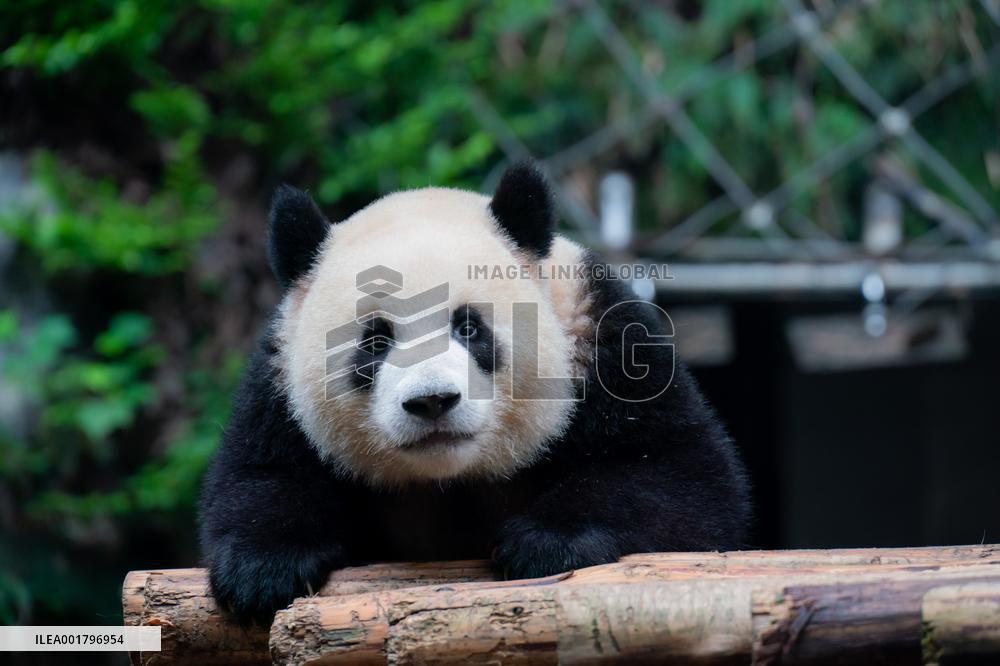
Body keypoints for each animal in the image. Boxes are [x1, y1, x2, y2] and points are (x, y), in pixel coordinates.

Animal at [199, 161, 751, 624]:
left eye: (468, 328)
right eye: (375, 341)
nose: (432, 402)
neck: (451, 479)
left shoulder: (607, 342)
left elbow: (682, 480)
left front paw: (547, 543)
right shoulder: (278, 383)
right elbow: (262, 475)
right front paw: (262, 571)